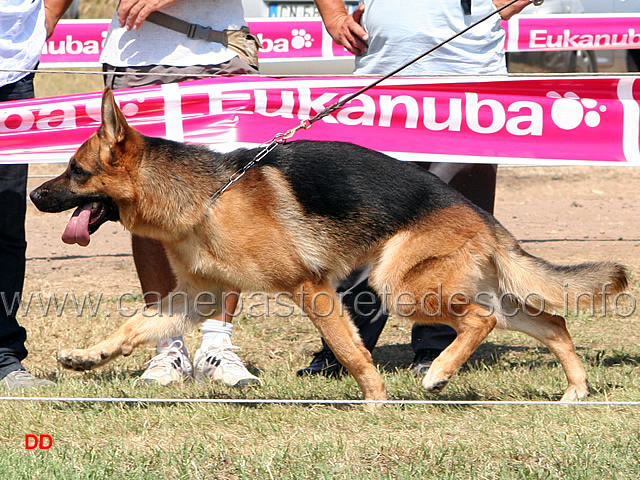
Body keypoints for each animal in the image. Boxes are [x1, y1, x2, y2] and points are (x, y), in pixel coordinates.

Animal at [30, 88, 624, 404]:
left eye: (76, 172)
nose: (34, 194)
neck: (206, 197)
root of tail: (478, 213)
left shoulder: (310, 288)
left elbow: (348, 348)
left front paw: (375, 403)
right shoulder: (194, 299)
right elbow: (133, 327)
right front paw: (88, 356)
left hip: (400, 286)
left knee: (482, 321)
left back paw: (438, 373)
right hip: (464, 288)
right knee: (551, 322)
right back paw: (575, 392)